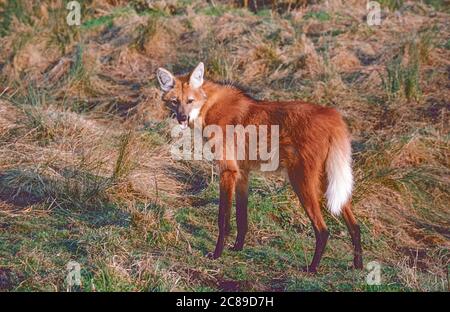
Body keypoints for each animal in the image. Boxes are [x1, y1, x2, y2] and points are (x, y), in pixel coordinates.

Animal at [156, 62, 364, 272]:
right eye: (174, 101)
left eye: (190, 101)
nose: (182, 117)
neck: (208, 106)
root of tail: (333, 115)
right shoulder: (242, 173)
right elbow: (242, 218)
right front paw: (237, 248)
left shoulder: (228, 171)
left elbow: (223, 219)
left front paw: (216, 255)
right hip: (327, 180)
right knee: (355, 226)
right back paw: (358, 265)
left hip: (302, 182)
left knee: (323, 230)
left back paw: (312, 268)